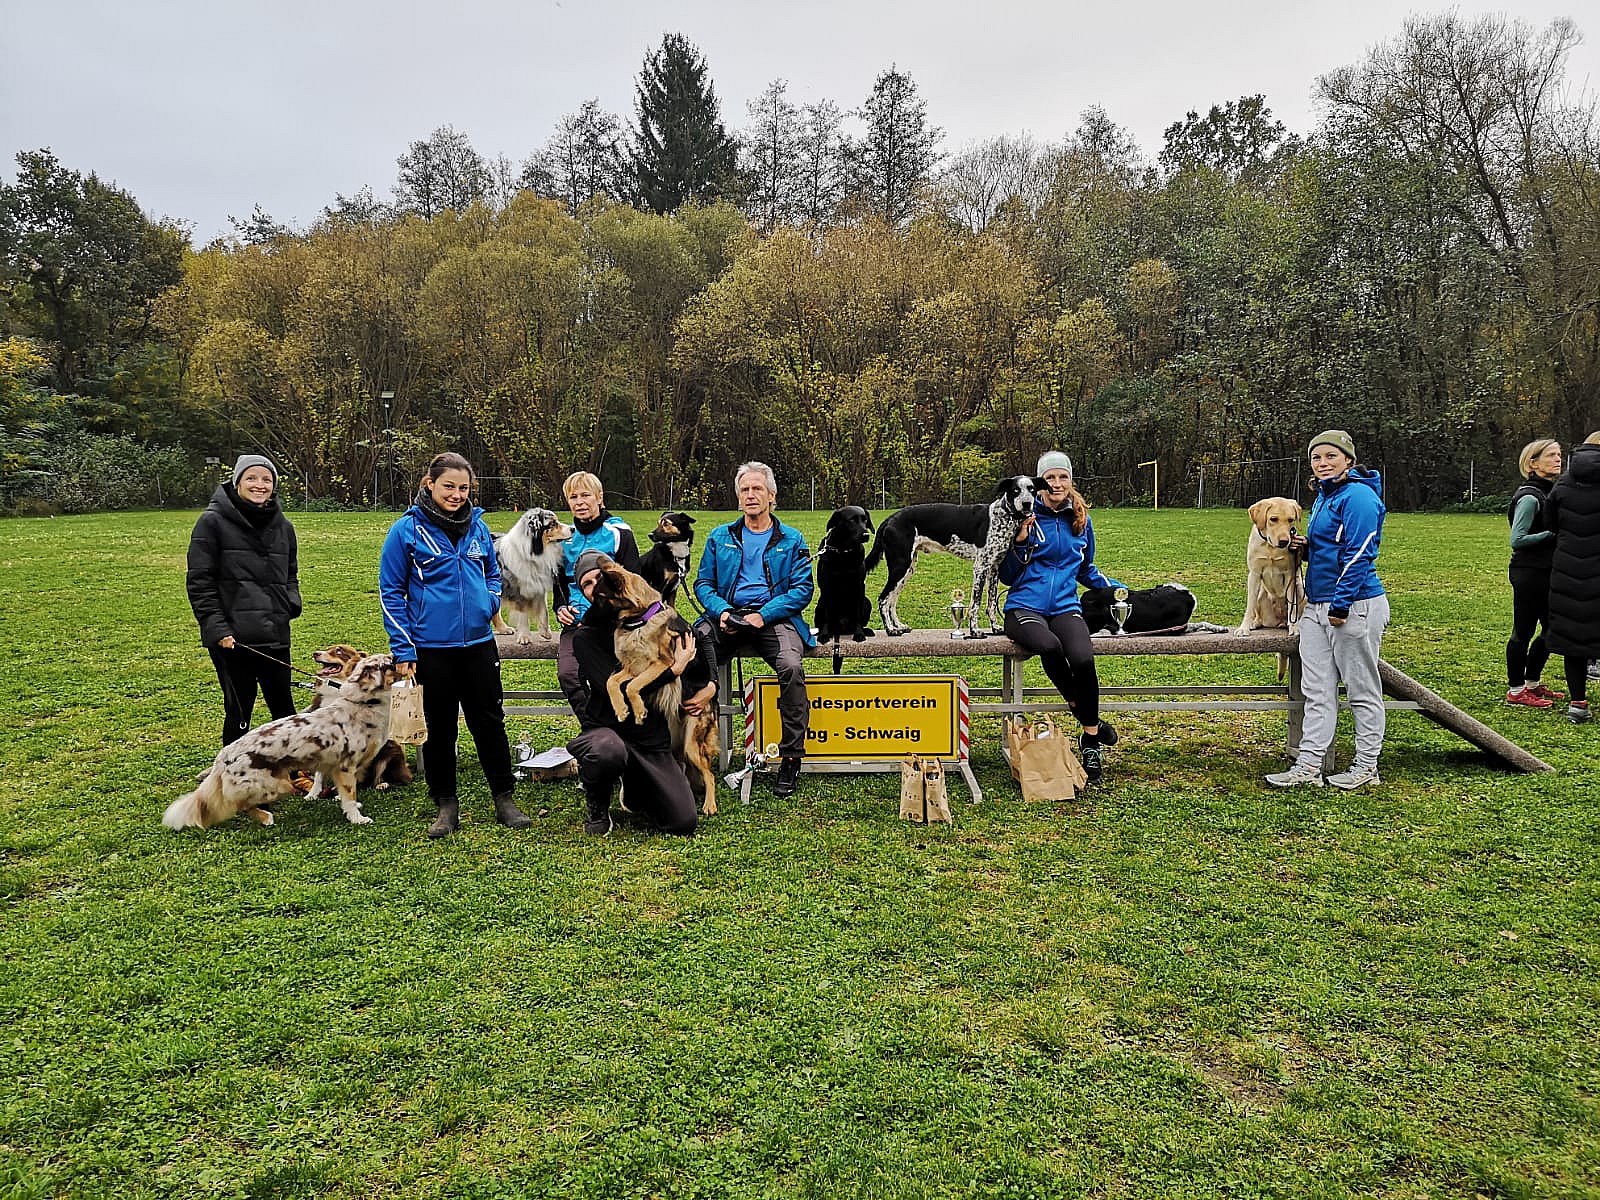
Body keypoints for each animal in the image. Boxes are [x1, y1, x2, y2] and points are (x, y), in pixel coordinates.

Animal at [165, 653, 401, 830]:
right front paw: (358, 818)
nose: (396, 654)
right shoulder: (345, 767)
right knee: (237, 805)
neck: (365, 703)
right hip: (274, 786)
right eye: (388, 664)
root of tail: (224, 755)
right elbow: (349, 797)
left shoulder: (333, 766)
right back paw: (266, 818)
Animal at [492, 508, 572, 643]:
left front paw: (545, 632)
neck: (533, 553)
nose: (573, 529)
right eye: (552, 524)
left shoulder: (539, 585)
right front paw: (524, 636)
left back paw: (504, 629)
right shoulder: (520, 589)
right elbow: (523, 613)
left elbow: (544, 611)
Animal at [812, 505, 876, 673]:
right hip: (819, 606)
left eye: (865, 520)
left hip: (867, 602)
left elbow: (857, 615)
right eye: (851, 520)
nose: (866, 535)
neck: (843, 551)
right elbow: (827, 615)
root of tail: (841, 628)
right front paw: (824, 635)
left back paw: (865, 630)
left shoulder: (859, 586)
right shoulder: (826, 587)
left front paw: (859, 634)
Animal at [866, 476, 1044, 637]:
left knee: (892, 600)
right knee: (883, 599)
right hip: (900, 567)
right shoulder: (981, 567)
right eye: (1016, 490)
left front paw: (995, 627)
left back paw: (899, 626)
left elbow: (991, 603)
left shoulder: (994, 569)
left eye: (1032, 489)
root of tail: (890, 519)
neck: (1003, 516)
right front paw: (975, 631)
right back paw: (890, 630)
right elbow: (975, 604)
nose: (1027, 503)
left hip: (907, 570)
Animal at [1238, 497, 1305, 636]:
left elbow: (1292, 606)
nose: (1284, 541)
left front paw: (1294, 627)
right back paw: (1255, 623)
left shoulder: (1290, 575)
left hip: (1301, 589)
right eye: (1273, 519)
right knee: (1257, 612)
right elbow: (1250, 605)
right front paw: (1244, 628)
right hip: (1260, 593)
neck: (1271, 547)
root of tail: (1279, 621)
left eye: (1291, 519)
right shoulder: (1254, 574)